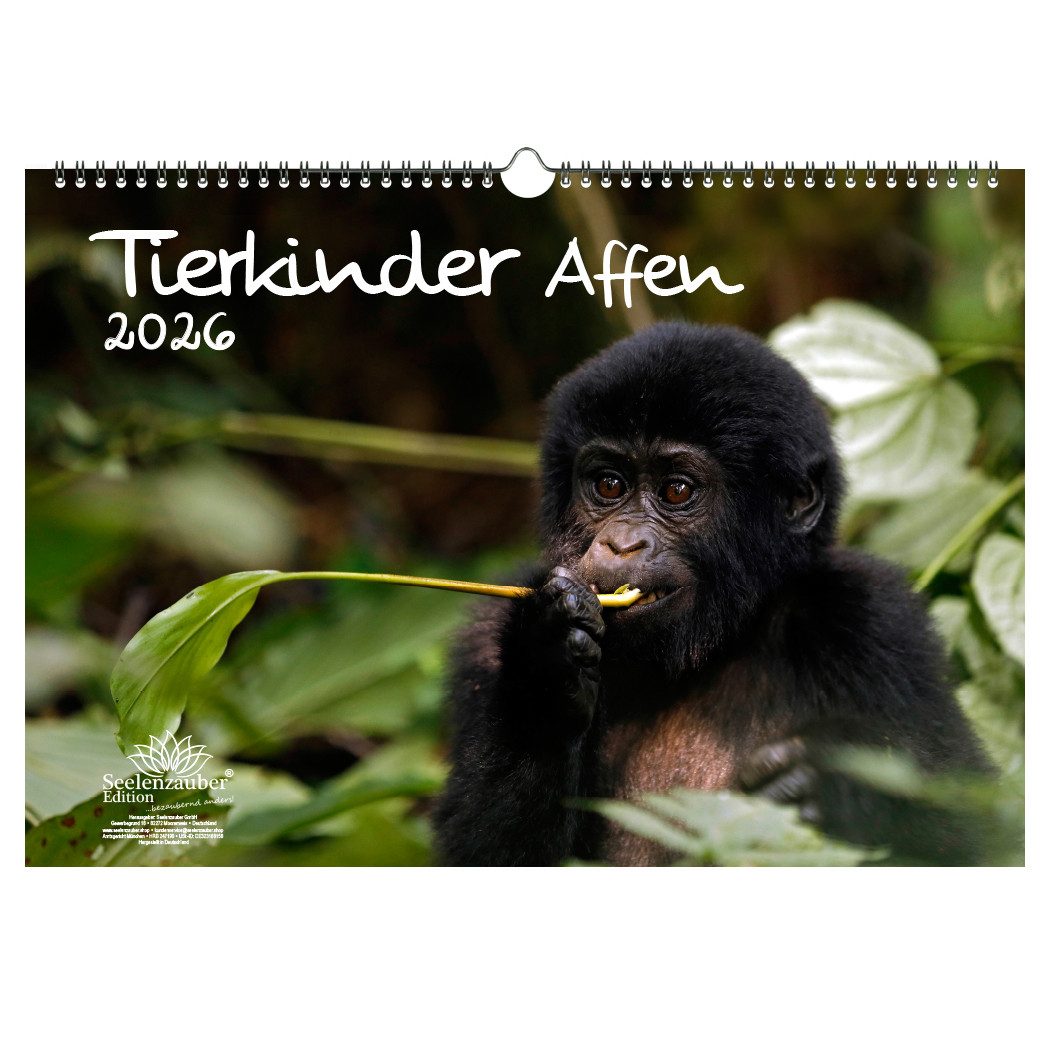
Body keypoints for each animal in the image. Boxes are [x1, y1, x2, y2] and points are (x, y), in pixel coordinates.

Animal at [432, 322, 993, 865]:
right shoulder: (486, 638)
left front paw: (830, 790)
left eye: (677, 491)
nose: (622, 542)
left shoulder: (873, 617)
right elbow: (485, 851)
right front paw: (544, 674)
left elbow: (973, 826)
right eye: (608, 485)